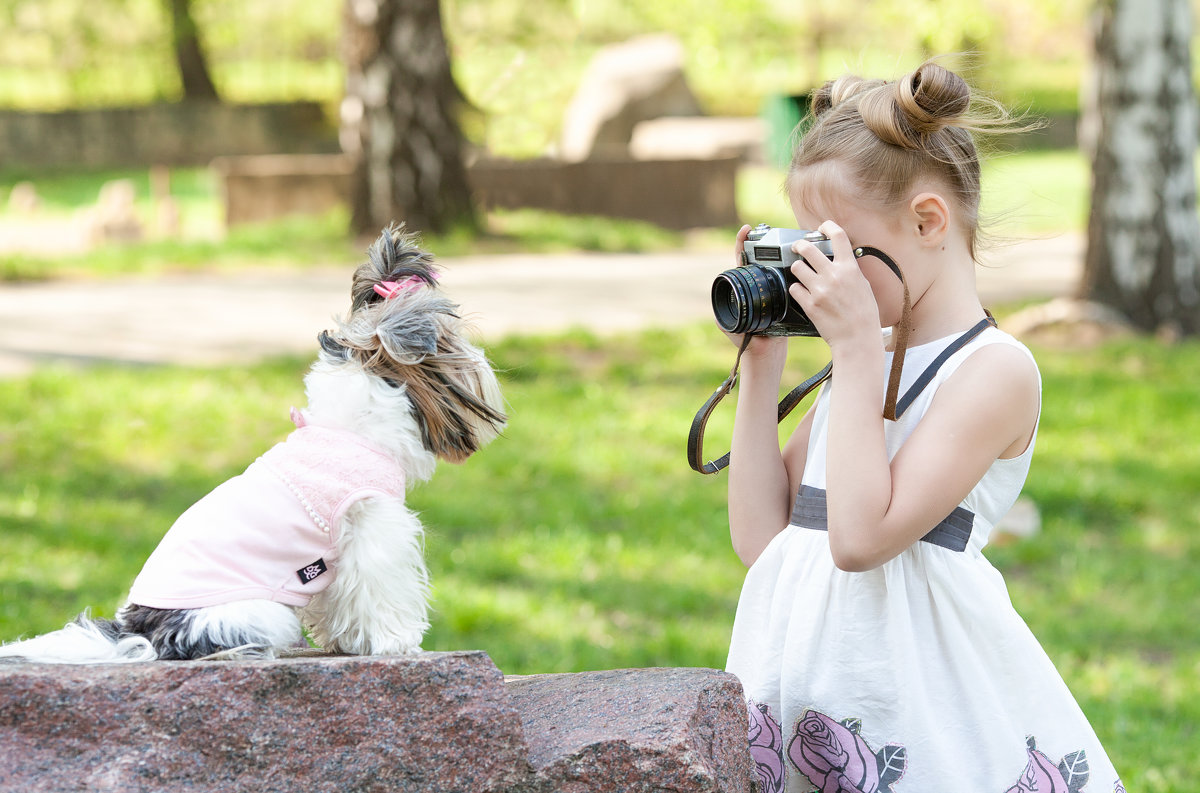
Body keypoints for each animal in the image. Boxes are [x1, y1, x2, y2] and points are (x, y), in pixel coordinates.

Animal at [0, 224, 504, 662]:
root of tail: (135, 630)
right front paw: (395, 643)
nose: (481, 356)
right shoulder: (373, 526)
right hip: (261, 612)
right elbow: (378, 590)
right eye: (455, 335)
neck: (349, 428)